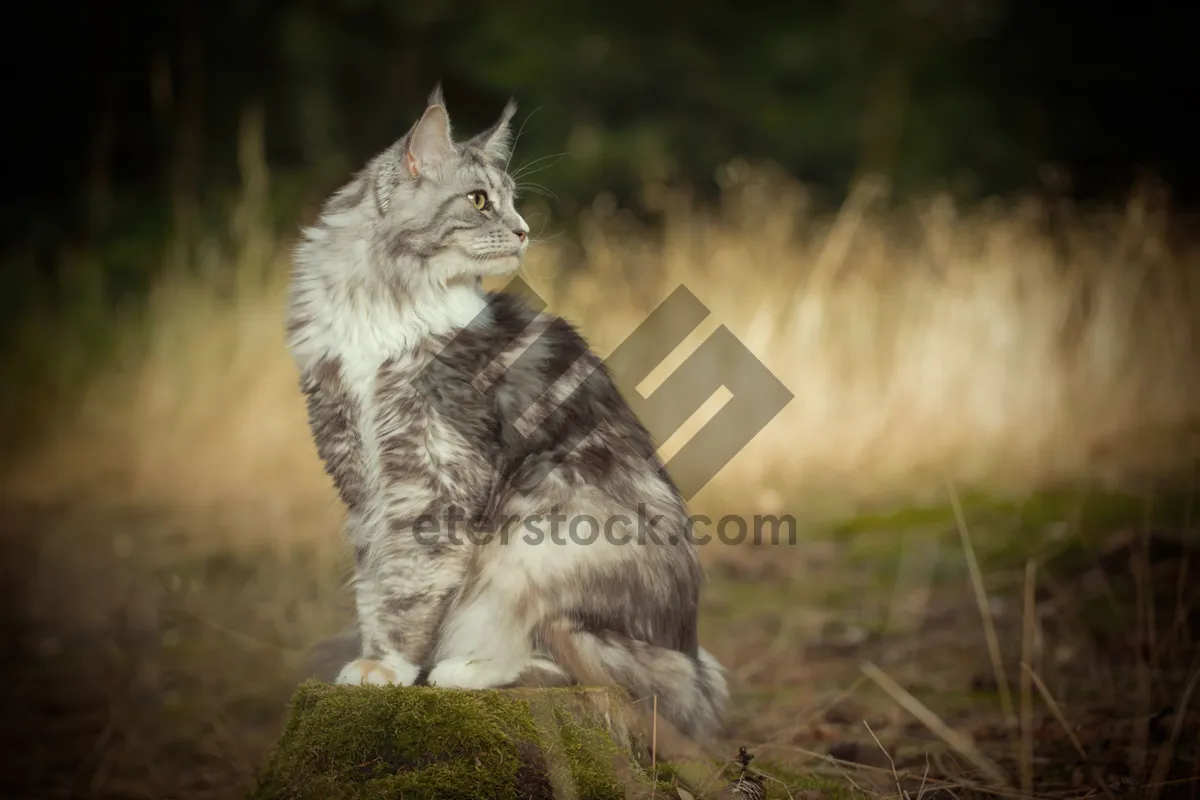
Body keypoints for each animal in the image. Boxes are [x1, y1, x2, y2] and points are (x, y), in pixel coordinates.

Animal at [285, 86, 729, 743]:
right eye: (479, 200)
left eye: (513, 202)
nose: (522, 231)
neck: (382, 304)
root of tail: (690, 658)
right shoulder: (355, 464)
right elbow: (373, 578)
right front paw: (375, 658)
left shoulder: (433, 468)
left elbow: (410, 582)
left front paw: (389, 666)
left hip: (540, 526)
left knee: (570, 662)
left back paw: (462, 669)